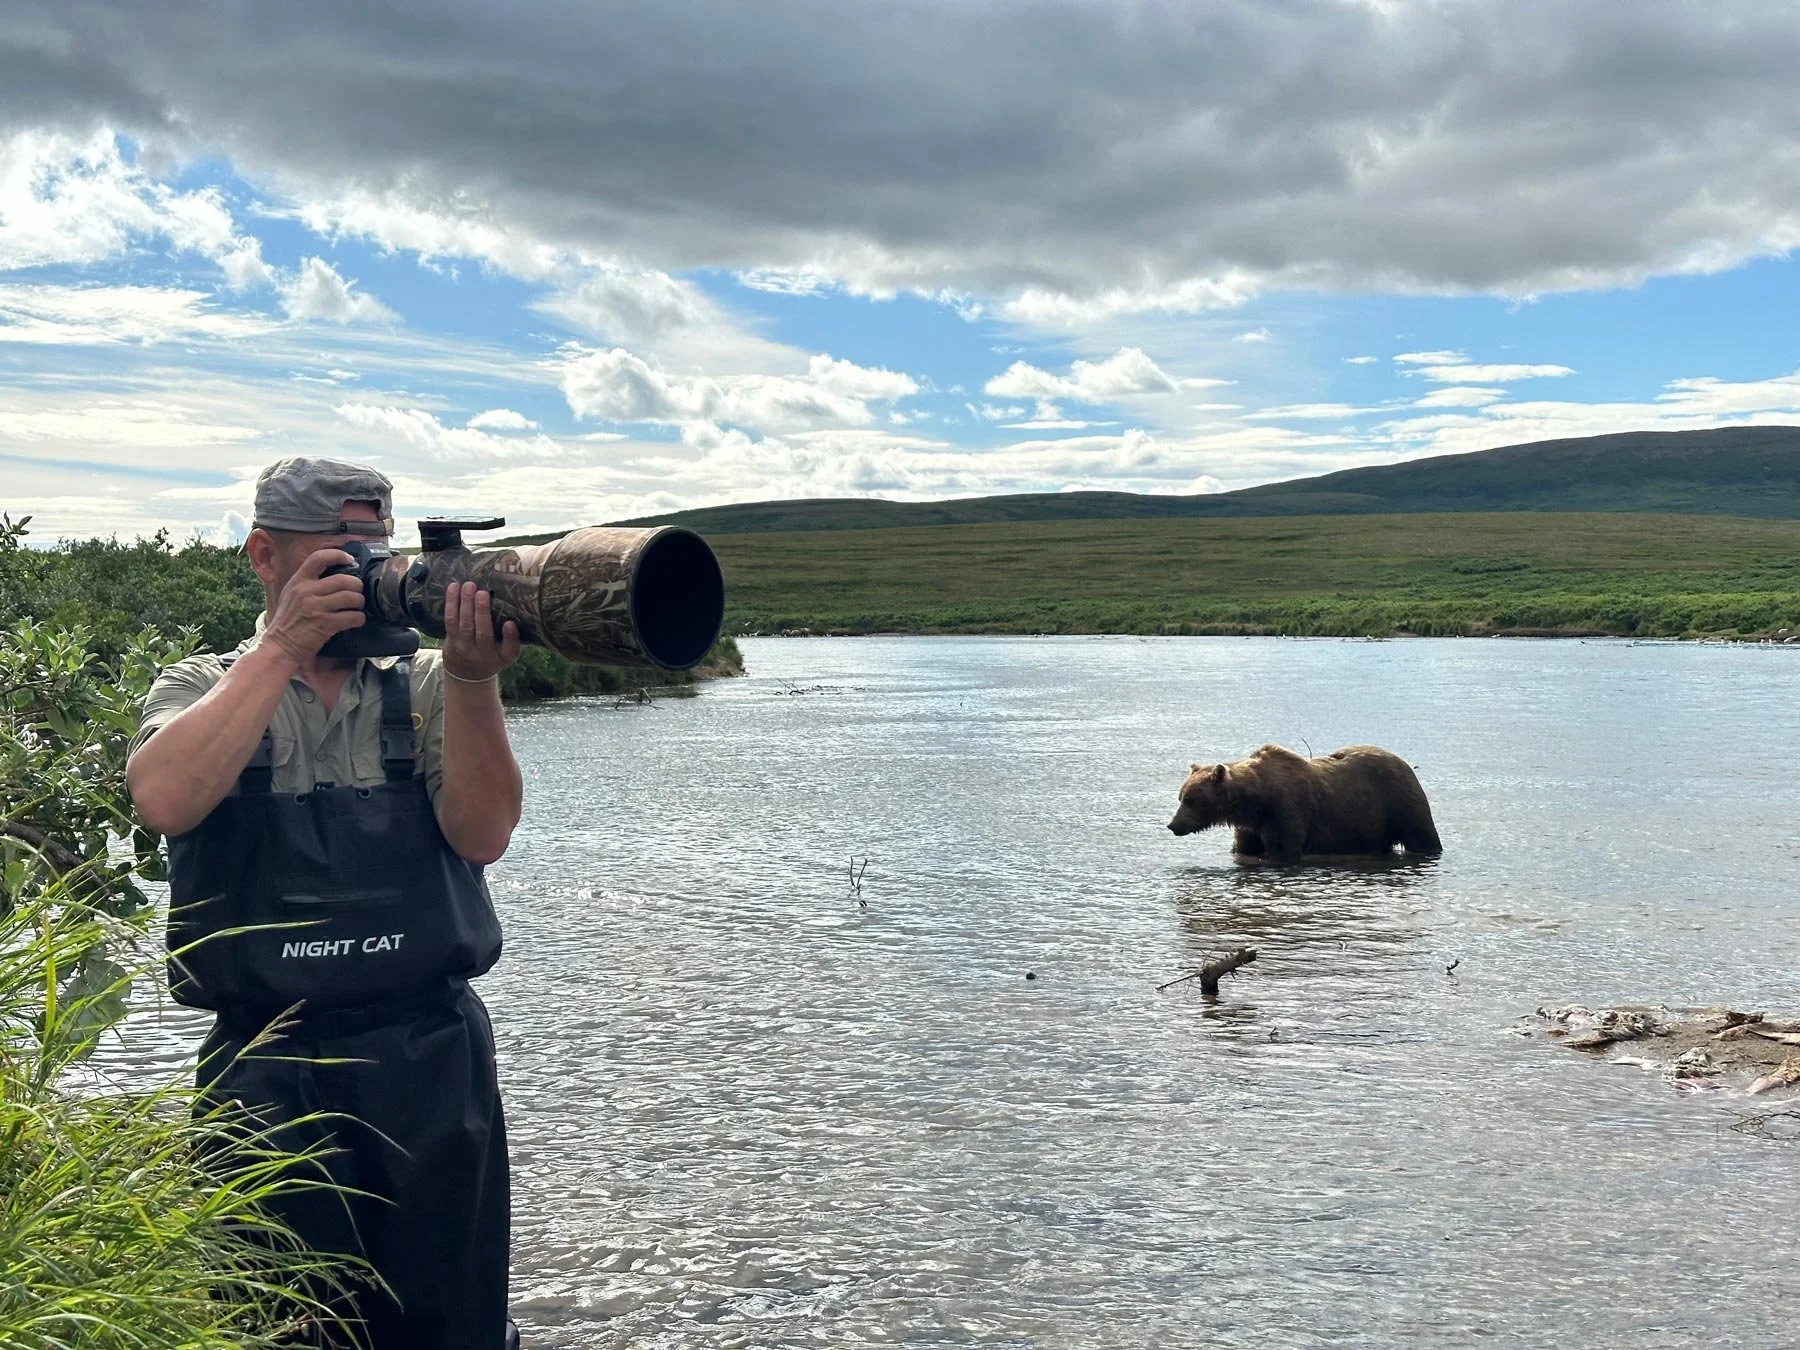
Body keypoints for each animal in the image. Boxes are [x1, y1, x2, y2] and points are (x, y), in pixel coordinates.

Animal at [1167, 744, 1442, 865]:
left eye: (1191, 799)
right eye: (1180, 796)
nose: (1173, 825)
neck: (1255, 803)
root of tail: (1403, 761)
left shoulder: (1286, 810)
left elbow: (1283, 849)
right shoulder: (1249, 825)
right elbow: (1245, 849)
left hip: (1398, 801)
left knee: (1422, 836)